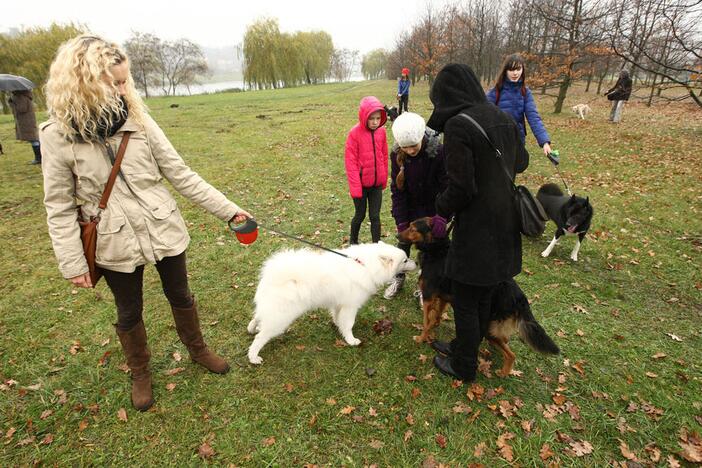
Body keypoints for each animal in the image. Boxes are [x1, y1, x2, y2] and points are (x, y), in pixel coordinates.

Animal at [248, 241, 416, 366]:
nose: (416, 262)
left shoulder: (339, 303)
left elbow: (337, 317)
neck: (366, 265)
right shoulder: (350, 306)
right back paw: (253, 357)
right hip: (281, 318)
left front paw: (337, 325)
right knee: (261, 337)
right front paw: (351, 340)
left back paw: (252, 328)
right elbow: (349, 325)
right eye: (405, 260)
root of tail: (275, 275)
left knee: (257, 317)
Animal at [402, 218, 560, 376]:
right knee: (504, 340)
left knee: (511, 354)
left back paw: (503, 373)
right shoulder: (443, 297)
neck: (436, 249)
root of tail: (520, 298)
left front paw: (421, 338)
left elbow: (426, 322)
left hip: (490, 328)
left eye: (412, 228)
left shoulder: (428, 297)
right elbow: (436, 317)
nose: (398, 235)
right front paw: (434, 326)